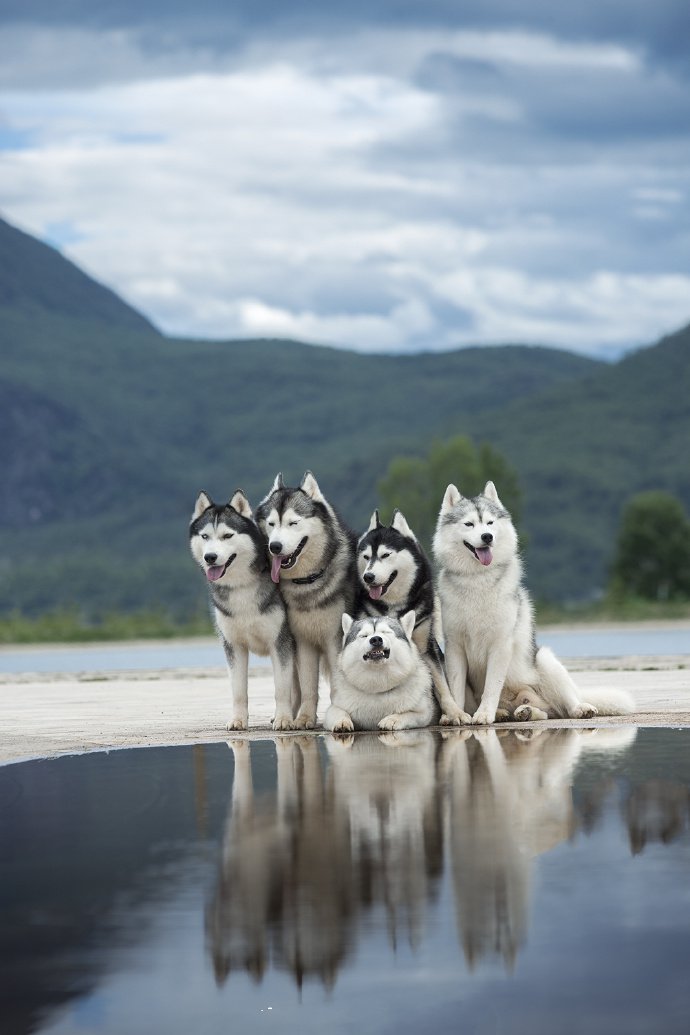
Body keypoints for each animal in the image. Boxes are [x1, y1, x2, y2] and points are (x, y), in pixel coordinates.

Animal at [190, 488, 295, 732]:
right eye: (205, 537)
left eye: (227, 536)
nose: (210, 557)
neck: (241, 586)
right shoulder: (233, 645)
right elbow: (238, 690)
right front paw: (238, 720)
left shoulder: (280, 642)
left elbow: (281, 688)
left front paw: (284, 719)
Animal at [255, 469, 362, 728]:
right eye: (271, 524)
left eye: (293, 523)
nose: (274, 546)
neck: (308, 581)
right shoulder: (303, 642)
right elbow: (308, 687)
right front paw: (304, 718)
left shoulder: (335, 640)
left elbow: (337, 685)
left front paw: (339, 716)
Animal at [360, 509, 467, 728]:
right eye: (366, 557)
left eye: (385, 555)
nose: (368, 576)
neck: (395, 605)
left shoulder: (427, 647)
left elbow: (442, 685)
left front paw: (454, 713)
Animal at [434, 480, 633, 724]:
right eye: (469, 524)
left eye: (490, 522)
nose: (487, 536)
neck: (478, 579)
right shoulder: (455, 647)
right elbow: (455, 689)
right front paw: (457, 715)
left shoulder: (500, 644)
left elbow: (492, 687)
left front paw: (484, 714)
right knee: (542, 713)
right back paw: (515, 713)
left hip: (545, 661)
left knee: (563, 706)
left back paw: (579, 708)